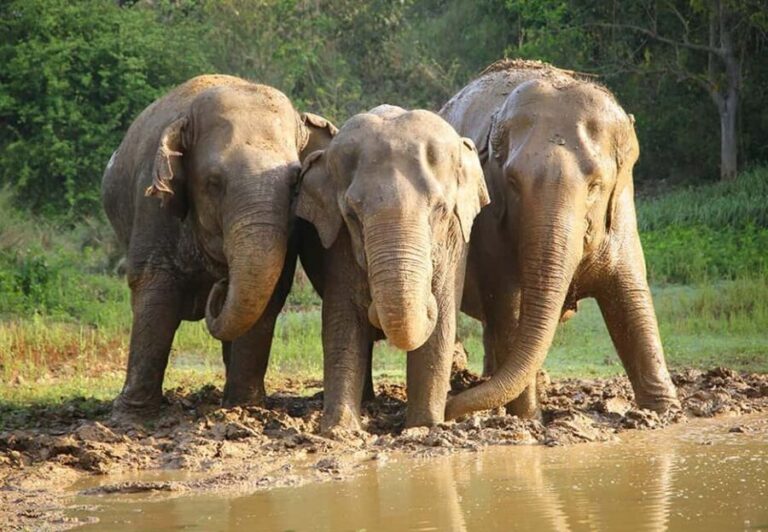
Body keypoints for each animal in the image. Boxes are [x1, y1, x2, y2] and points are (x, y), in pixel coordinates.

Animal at [102, 74, 336, 417]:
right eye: (213, 182)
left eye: (296, 182)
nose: (222, 284)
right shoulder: (153, 206)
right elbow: (153, 286)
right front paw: (131, 414)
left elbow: (271, 290)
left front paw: (244, 407)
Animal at [296, 105, 489, 430]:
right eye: (351, 214)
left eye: (440, 210)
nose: (373, 306)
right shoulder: (338, 244)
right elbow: (342, 321)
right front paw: (340, 429)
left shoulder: (456, 242)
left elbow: (442, 324)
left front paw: (424, 427)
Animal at [439, 59, 679, 420]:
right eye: (512, 182)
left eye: (596, 185)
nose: (449, 410)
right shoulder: (492, 229)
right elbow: (509, 310)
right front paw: (528, 418)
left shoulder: (622, 214)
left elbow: (632, 301)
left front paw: (666, 412)